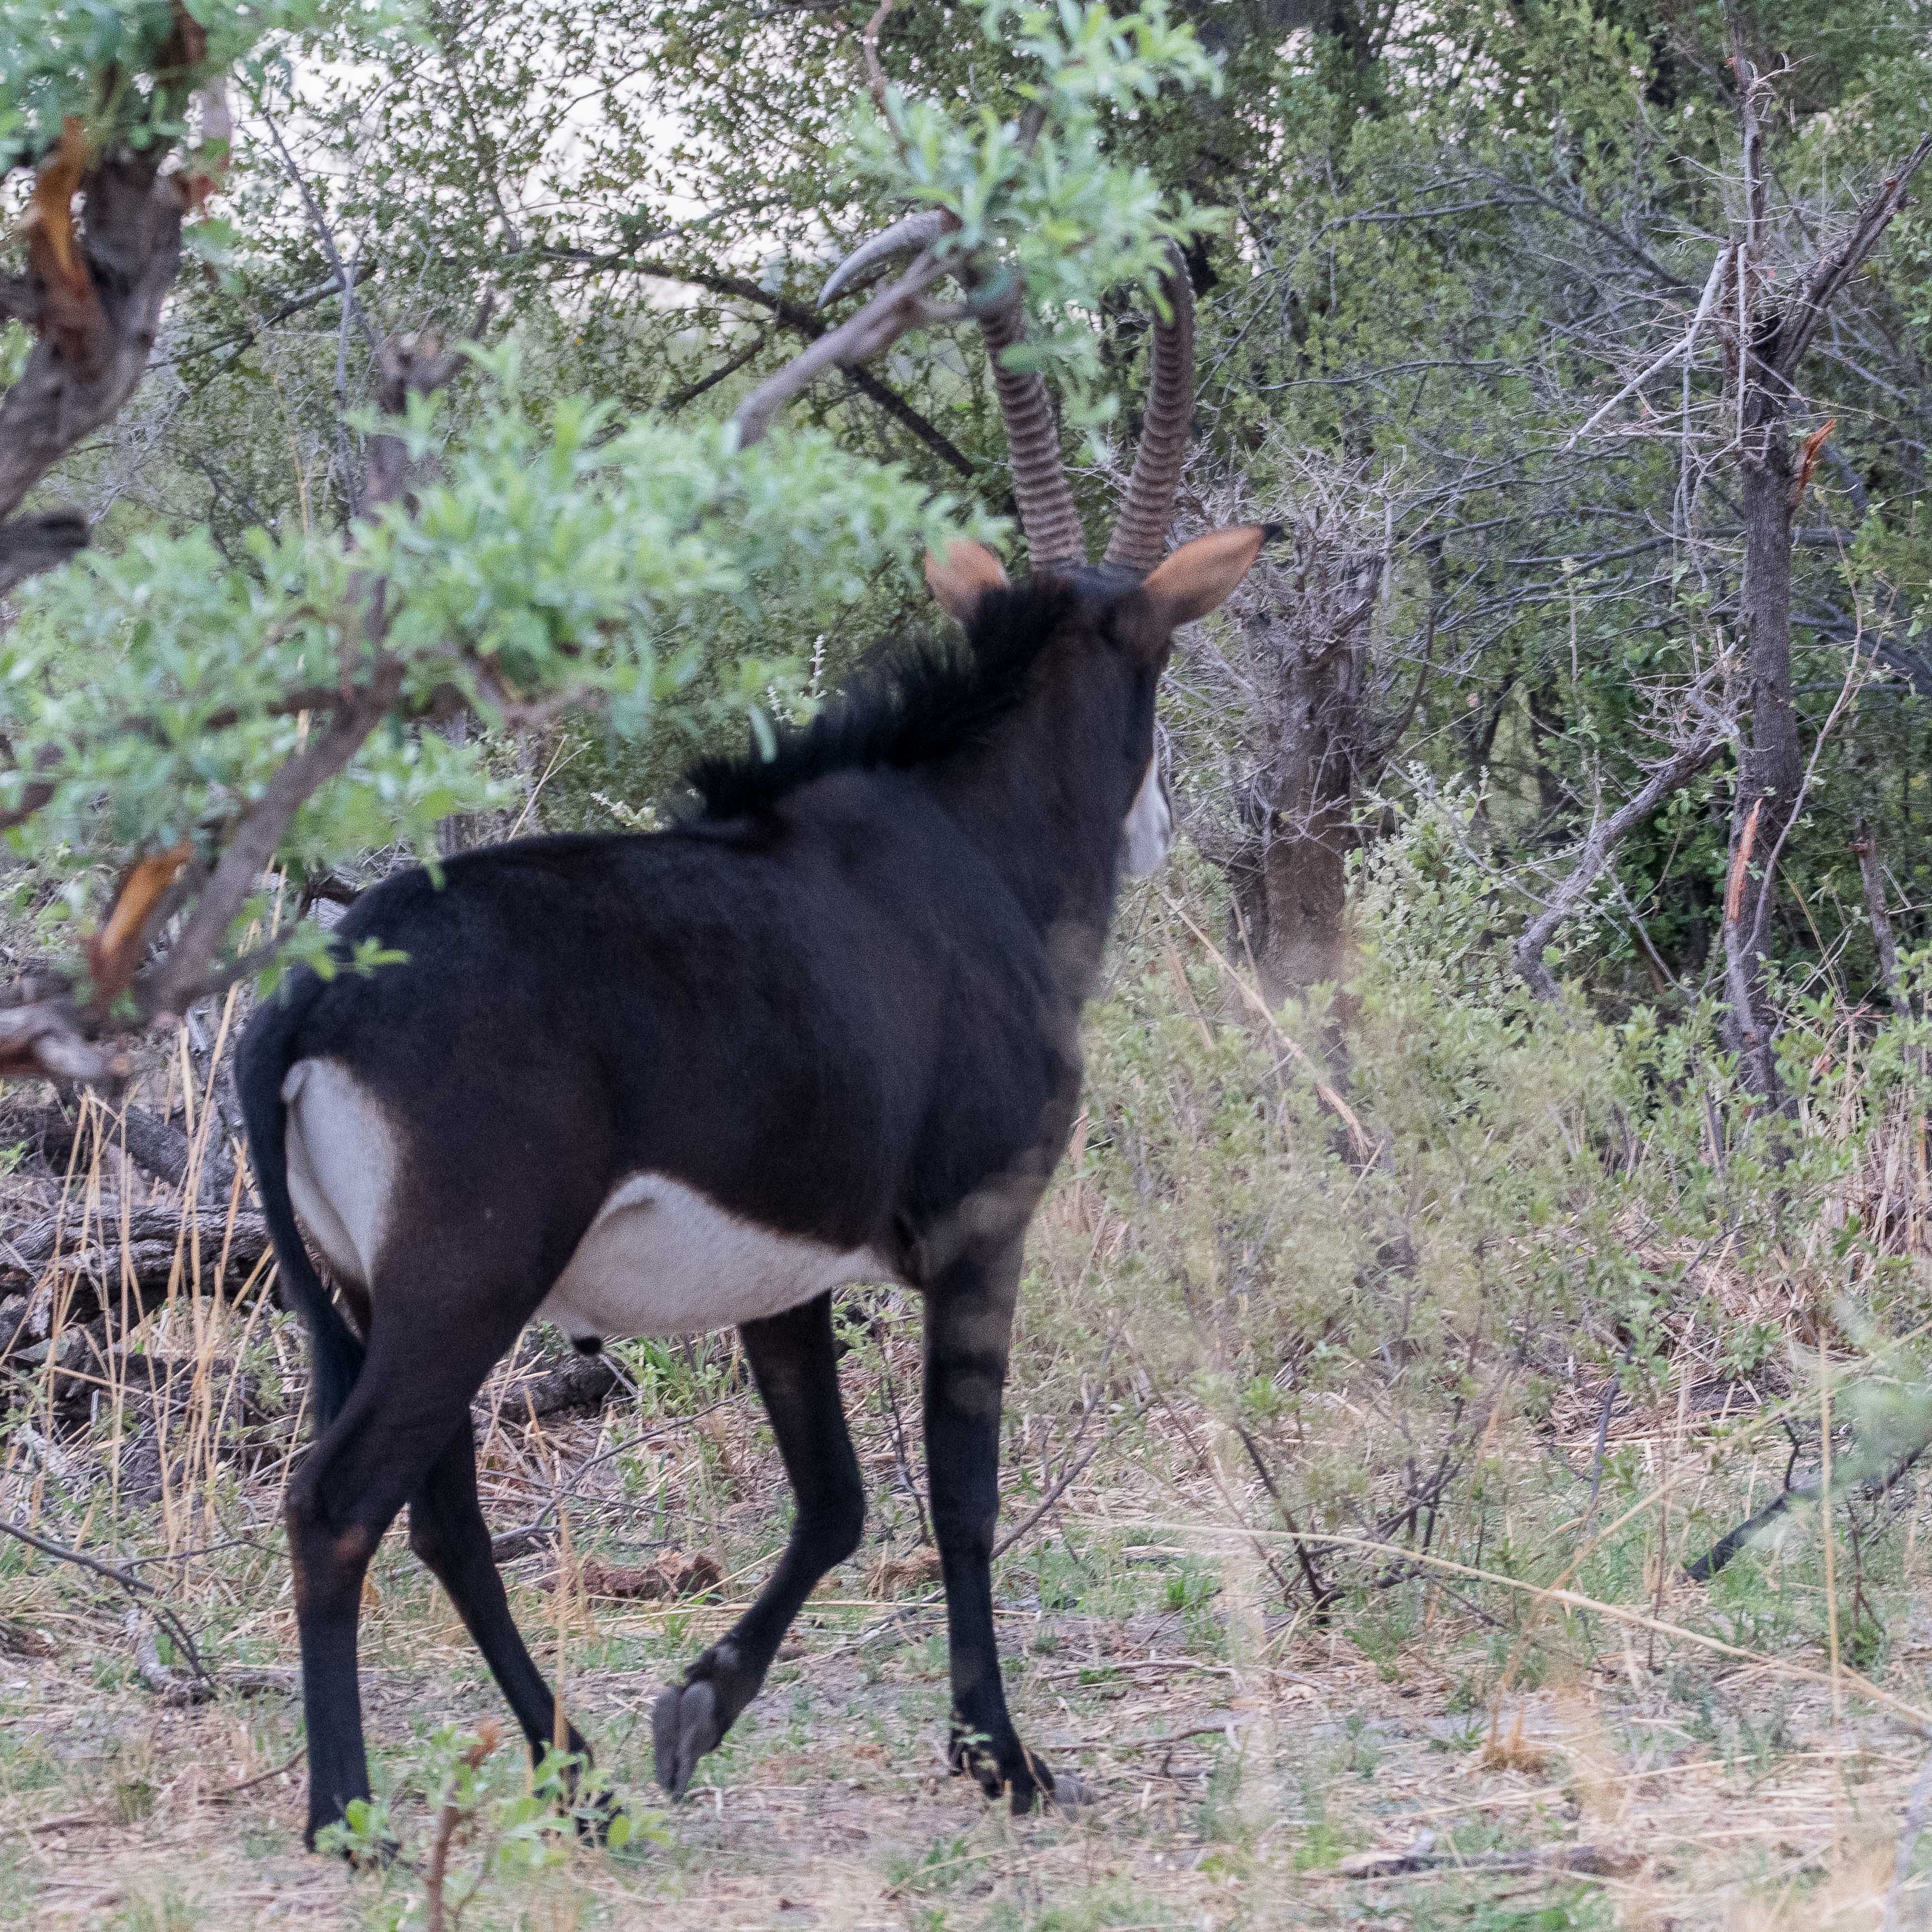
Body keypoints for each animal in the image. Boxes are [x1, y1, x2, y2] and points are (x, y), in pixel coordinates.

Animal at [237, 211, 1267, 1839]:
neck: (965, 837)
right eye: (1153, 662)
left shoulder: (782, 1275)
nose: (1157, 832)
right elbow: (957, 1492)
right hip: (463, 1283)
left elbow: (835, 1500)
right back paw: (348, 1814)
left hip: (348, 1295)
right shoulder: (981, 1227)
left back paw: (581, 1780)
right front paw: (1001, 1754)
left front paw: (692, 1709)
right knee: (339, 1503)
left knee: (441, 1512)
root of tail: (311, 996)